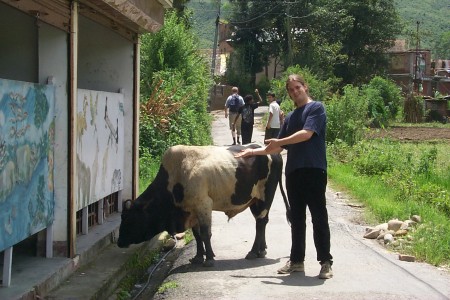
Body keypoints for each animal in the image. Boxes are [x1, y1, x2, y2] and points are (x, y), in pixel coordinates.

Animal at [118, 144, 290, 266]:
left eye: (129, 219)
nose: (120, 242)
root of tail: (273, 152)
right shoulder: (191, 211)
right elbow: (197, 235)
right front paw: (198, 257)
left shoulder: (204, 205)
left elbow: (206, 233)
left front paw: (209, 259)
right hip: (254, 201)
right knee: (262, 222)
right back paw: (262, 250)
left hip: (265, 197)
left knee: (260, 223)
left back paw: (254, 252)